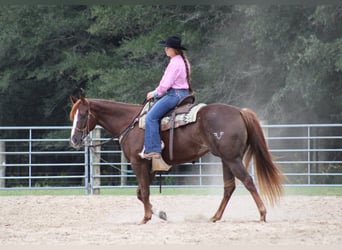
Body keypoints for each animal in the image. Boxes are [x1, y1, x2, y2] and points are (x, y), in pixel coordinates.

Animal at [69, 96, 284, 225]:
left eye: (83, 114)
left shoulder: (138, 163)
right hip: (226, 160)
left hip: (232, 159)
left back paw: (262, 214)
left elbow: (144, 192)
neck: (130, 123)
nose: (74, 140)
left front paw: (145, 218)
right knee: (229, 187)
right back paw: (215, 217)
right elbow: (140, 193)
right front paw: (161, 214)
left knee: (248, 181)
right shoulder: (150, 167)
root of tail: (240, 111)